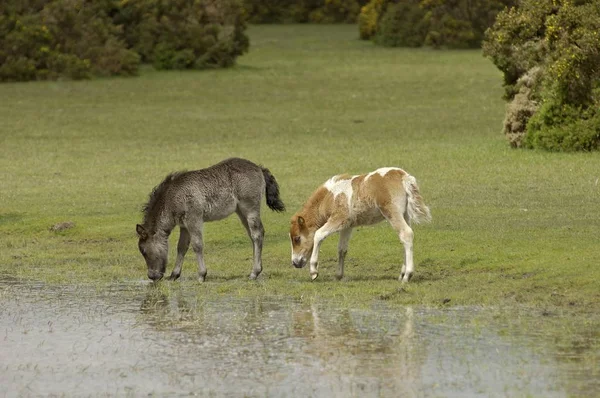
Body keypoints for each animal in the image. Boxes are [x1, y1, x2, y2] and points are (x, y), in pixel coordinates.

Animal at [137, 157, 286, 282]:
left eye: (144, 251)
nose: (152, 276)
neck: (174, 196)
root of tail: (259, 168)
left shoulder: (194, 220)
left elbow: (197, 245)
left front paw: (201, 275)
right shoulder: (184, 225)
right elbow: (181, 247)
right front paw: (174, 275)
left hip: (250, 209)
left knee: (257, 234)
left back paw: (254, 273)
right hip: (241, 212)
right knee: (252, 235)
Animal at [288, 166, 428, 282]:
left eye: (297, 238)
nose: (295, 263)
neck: (331, 196)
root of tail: (403, 176)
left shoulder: (338, 219)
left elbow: (318, 235)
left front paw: (313, 272)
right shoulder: (347, 226)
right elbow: (342, 249)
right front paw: (338, 275)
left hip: (392, 212)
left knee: (406, 234)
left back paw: (407, 275)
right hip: (405, 215)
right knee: (405, 238)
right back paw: (402, 274)